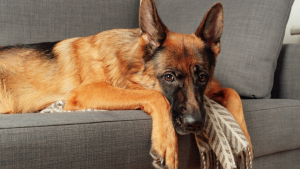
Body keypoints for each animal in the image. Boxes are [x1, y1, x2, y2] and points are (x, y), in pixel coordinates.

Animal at [0, 0, 252, 168]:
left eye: (202, 77)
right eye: (168, 77)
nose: (195, 124)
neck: (131, 64)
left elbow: (233, 92)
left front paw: (245, 139)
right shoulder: (89, 91)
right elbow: (156, 96)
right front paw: (167, 143)